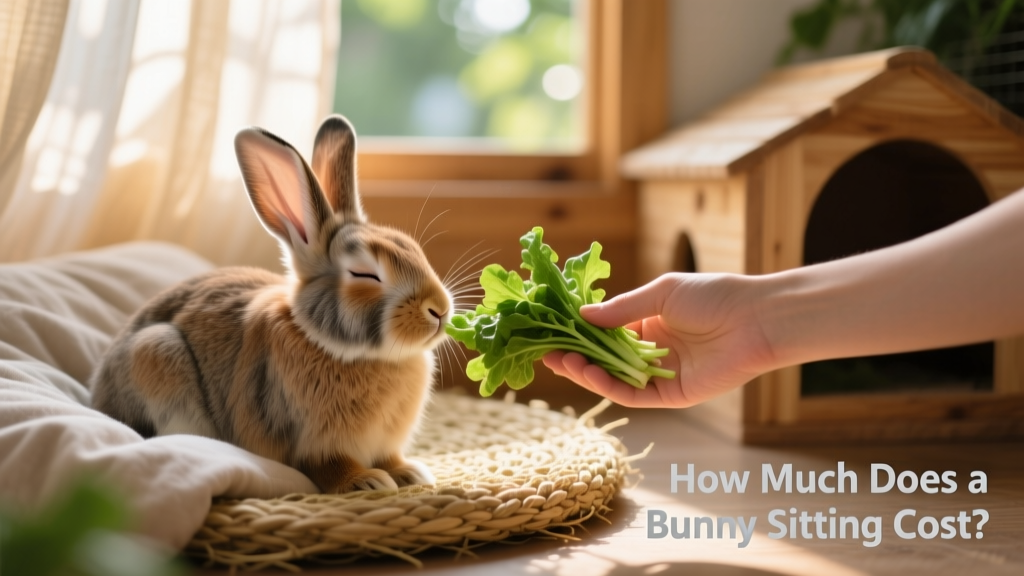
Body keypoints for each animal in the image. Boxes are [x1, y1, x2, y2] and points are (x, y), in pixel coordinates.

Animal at [89, 115, 452, 493]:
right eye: (364, 274)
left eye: (414, 248)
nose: (440, 309)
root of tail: (99, 395)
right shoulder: (312, 442)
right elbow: (329, 466)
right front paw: (367, 482)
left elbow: (389, 458)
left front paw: (410, 473)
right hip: (157, 351)